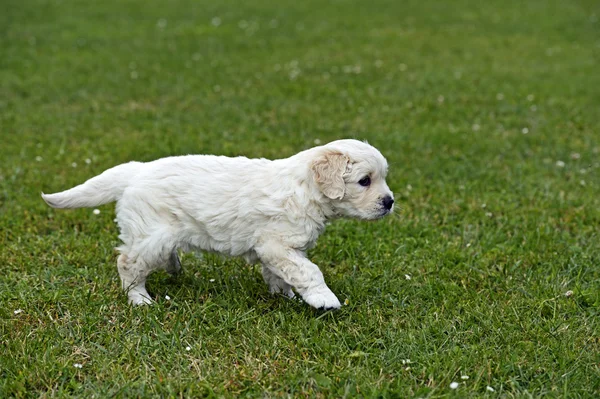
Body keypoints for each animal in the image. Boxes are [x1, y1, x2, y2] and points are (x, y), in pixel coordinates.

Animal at [44, 140, 396, 310]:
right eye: (365, 181)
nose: (390, 201)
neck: (306, 188)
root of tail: (136, 171)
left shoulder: (282, 249)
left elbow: (282, 274)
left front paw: (286, 296)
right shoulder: (277, 244)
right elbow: (309, 271)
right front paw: (324, 300)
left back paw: (172, 267)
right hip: (152, 233)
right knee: (128, 262)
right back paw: (139, 299)